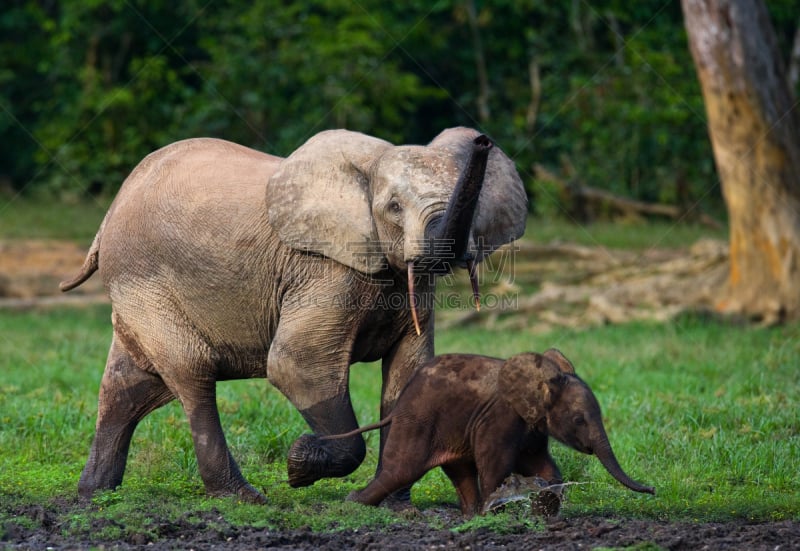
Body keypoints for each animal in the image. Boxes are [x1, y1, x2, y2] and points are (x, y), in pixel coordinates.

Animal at [61, 128, 524, 504]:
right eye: (393, 206)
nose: (483, 141)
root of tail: (109, 214)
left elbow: (409, 373)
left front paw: (392, 505)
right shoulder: (323, 270)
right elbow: (297, 365)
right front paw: (298, 466)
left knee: (126, 385)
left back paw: (95, 495)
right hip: (143, 279)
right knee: (192, 371)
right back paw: (242, 497)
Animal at [328, 350, 652, 516]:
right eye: (578, 419)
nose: (652, 490)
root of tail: (398, 406)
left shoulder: (532, 424)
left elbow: (542, 464)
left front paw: (543, 510)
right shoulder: (500, 416)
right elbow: (496, 462)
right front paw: (495, 512)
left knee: (459, 470)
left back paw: (470, 516)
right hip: (417, 421)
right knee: (402, 470)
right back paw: (353, 503)